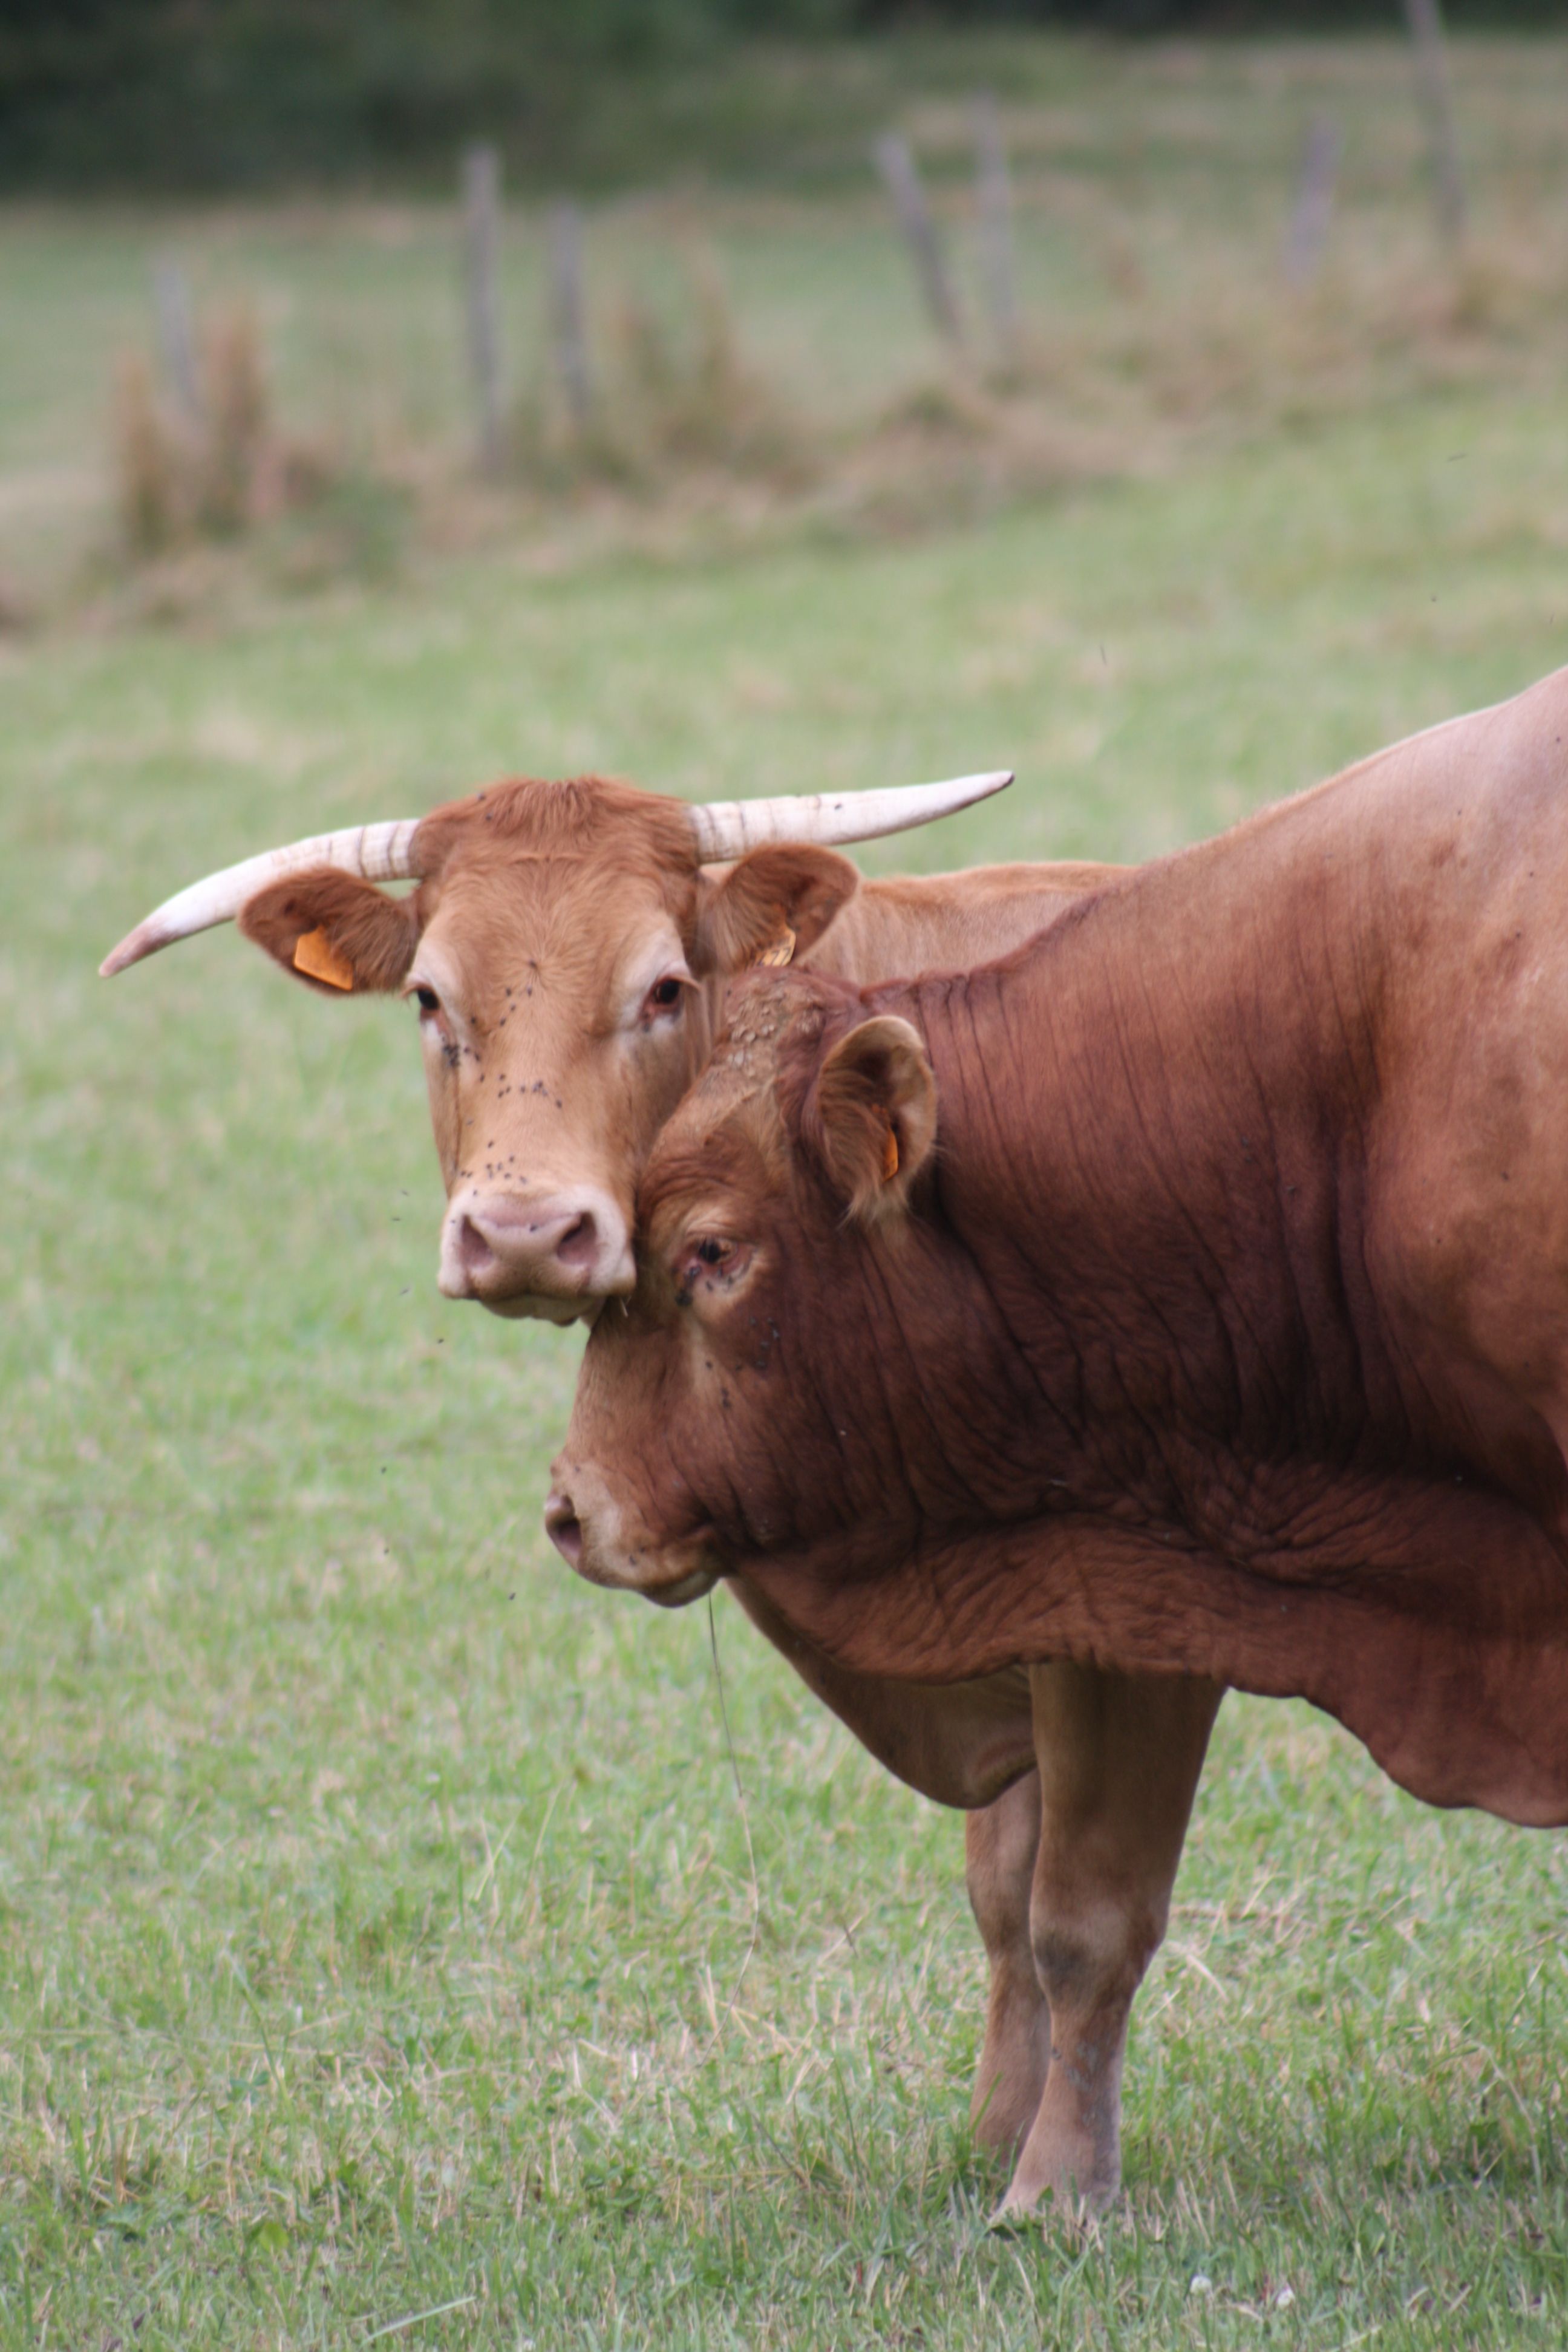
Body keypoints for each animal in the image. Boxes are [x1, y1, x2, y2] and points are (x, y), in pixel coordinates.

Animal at [103, 766, 1222, 2201]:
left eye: (662, 987)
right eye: (428, 997)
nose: (525, 1232)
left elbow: (1080, 1908)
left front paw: (1050, 2181)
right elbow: (1007, 1893)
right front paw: (993, 2134)